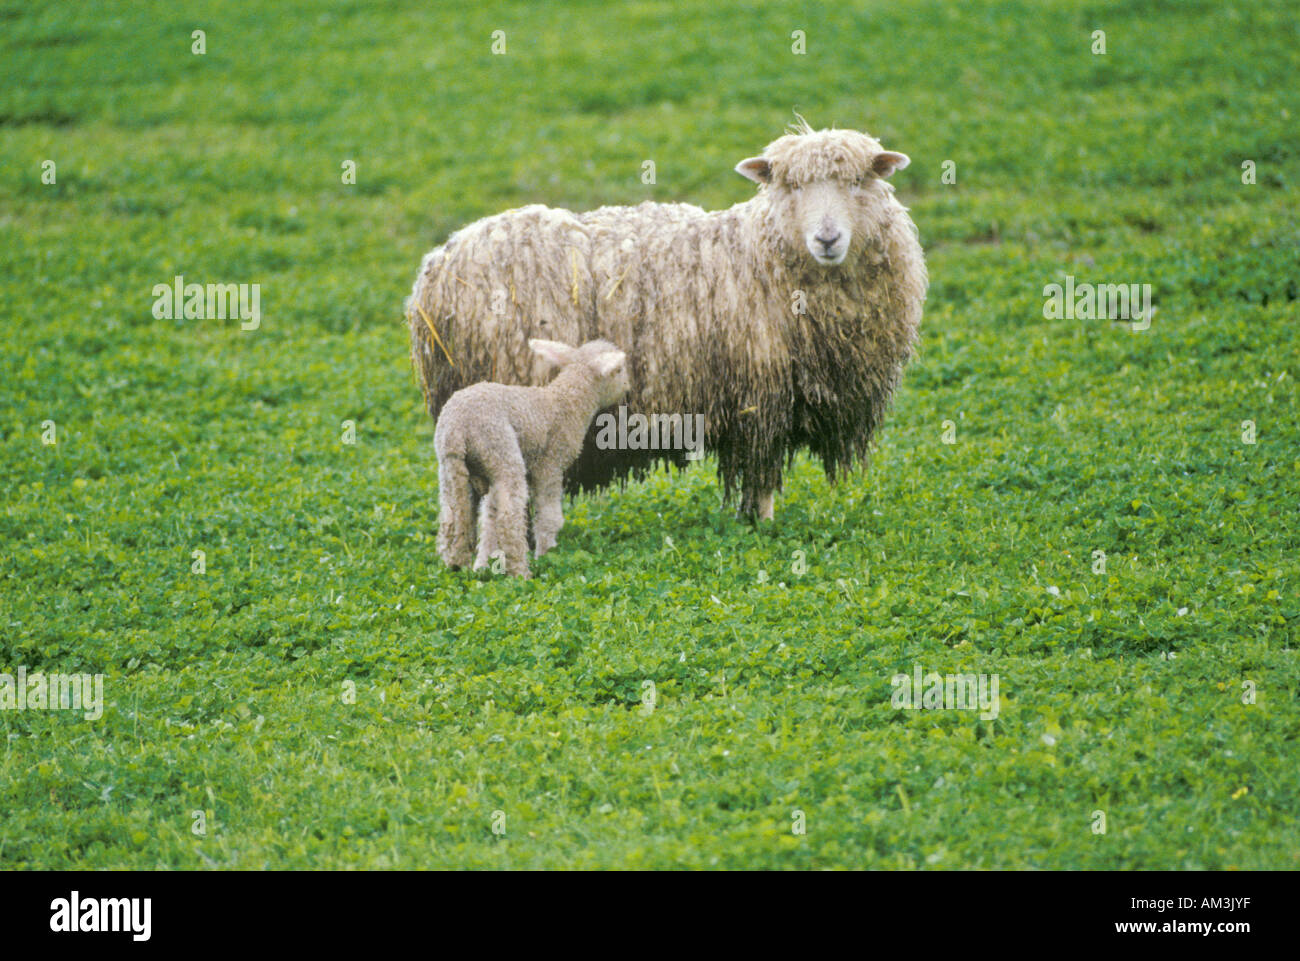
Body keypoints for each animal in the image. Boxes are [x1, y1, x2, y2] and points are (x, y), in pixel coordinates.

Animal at [408, 116, 926, 520]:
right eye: (792, 186)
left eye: (857, 182)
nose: (827, 239)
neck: (762, 251)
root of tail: (435, 271)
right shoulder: (762, 394)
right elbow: (761, 471)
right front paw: (763, 524)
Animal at [435, 338, 630, 578]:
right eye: (619, 370)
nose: (627, 387)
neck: (566, 403)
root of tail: (457, 427)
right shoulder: (550, 466)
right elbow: (549, 517)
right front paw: (546, 553)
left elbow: (488, 518)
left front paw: (482, 564)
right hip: (501, 452)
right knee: (509, 517)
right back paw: (521, 573)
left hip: (452, 466)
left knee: (452, 516)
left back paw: (454, 566)